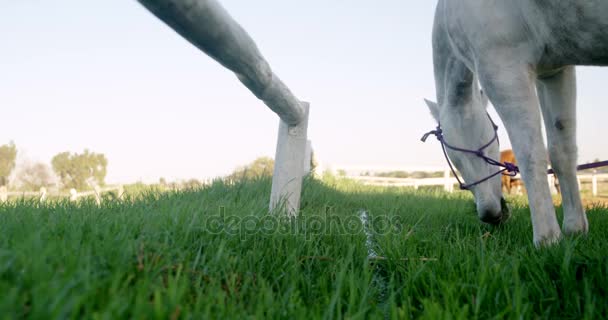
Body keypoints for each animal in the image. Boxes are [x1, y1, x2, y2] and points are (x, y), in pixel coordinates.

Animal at [426, 0, 604, 246]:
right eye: (456, 161)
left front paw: (548, 239)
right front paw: (574, 228)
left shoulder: (502, 69)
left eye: (484, 147)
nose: (491, 215)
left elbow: (531, 155)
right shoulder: (555, 72)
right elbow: (562, 153)